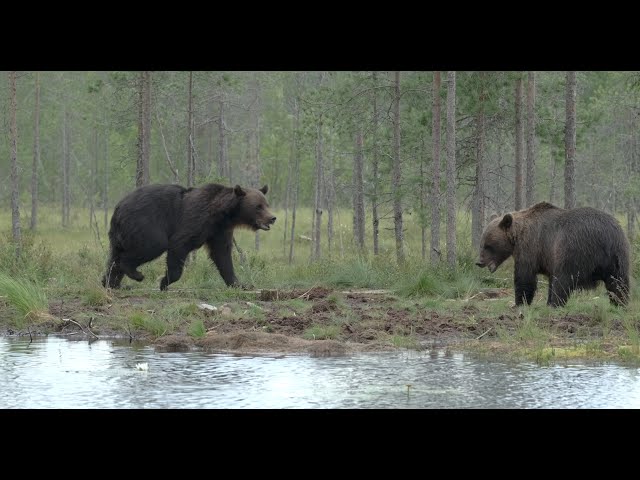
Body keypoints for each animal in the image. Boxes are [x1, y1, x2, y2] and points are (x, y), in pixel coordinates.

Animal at [101, 182, 276, 290]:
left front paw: (240, 284)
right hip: (145, 223)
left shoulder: (219, 231)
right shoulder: (195, 221)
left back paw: (112, 283)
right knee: (152, 245)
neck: (222, 215)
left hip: (120, 234)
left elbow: (222, 255)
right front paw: (164, 281)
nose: (272, 218)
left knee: (114, 257)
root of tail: (118, 207)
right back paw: (136, 275)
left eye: (266, 204)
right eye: (258, 206)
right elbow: (179, 245)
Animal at [476, 200, 632, 306]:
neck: (517, 236)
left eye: (488, 245)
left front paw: (520, 303)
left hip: (573, 248)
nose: (479, 262)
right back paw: (619, 304)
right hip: (618, 254)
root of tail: (604, 237)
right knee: (618, 283)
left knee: (563, 279)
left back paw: (556, 304)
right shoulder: (548, 256)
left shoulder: (531, 248)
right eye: (482, 243)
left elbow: (525, 277)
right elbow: (549, 278)